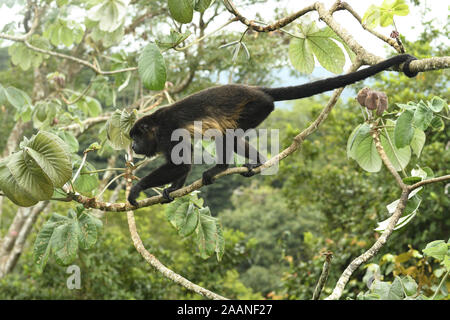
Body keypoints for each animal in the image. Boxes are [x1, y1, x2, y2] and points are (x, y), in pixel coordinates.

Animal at [127, 54, 418, 206]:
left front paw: (136, 189)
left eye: (136, 137)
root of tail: (257, 90)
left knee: (228, 134)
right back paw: (252, 162)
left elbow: (182, 162)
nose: (131, 146)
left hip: (258, 107)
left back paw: (225, 167)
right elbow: (182, 165)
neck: (155, 126)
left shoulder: (167, 131)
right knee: (230, 135)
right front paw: (172, 189)